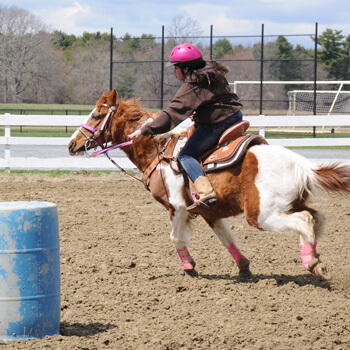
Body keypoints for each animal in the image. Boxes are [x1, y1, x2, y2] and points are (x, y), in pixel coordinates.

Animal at [67, 90, 350, 282]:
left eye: (97, 114)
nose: (71, 144)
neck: (158, 151)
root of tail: (302, 165)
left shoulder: (178, 207)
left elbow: (176, 237)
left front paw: (190, 268)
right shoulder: (210, 212)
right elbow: (227, 239)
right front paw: (244, 268)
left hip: (262, 215)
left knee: (304, 221)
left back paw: (312, 264)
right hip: (290, 205)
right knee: (317, 218)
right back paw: (316, 260)